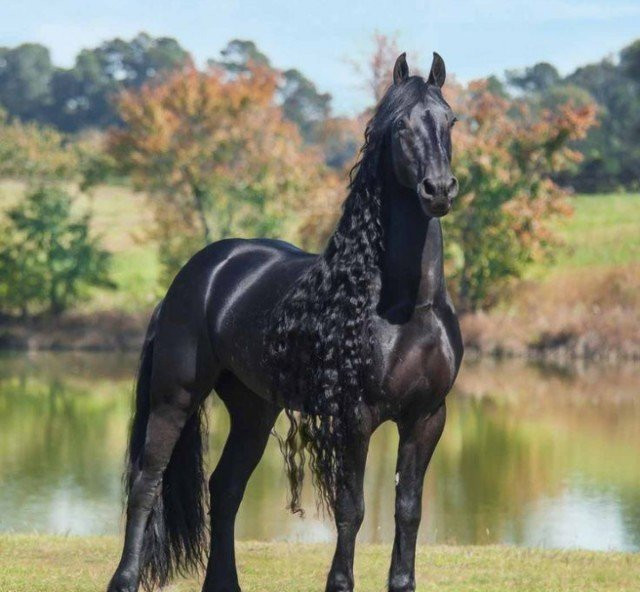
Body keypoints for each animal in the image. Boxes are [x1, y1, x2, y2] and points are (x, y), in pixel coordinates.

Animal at [107, 51, 463, 592]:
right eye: (401, 124)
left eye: (450, 120)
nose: (438, 190)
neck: (407, 307)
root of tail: (200, 272)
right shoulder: (354, 416)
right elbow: (351, 509)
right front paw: (339, 582)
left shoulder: (426, 417)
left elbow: (408, 509)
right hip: (175, 397)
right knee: (149, 482)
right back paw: (125, 579)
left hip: (254, 408)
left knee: (225, 487)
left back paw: (224, 584)